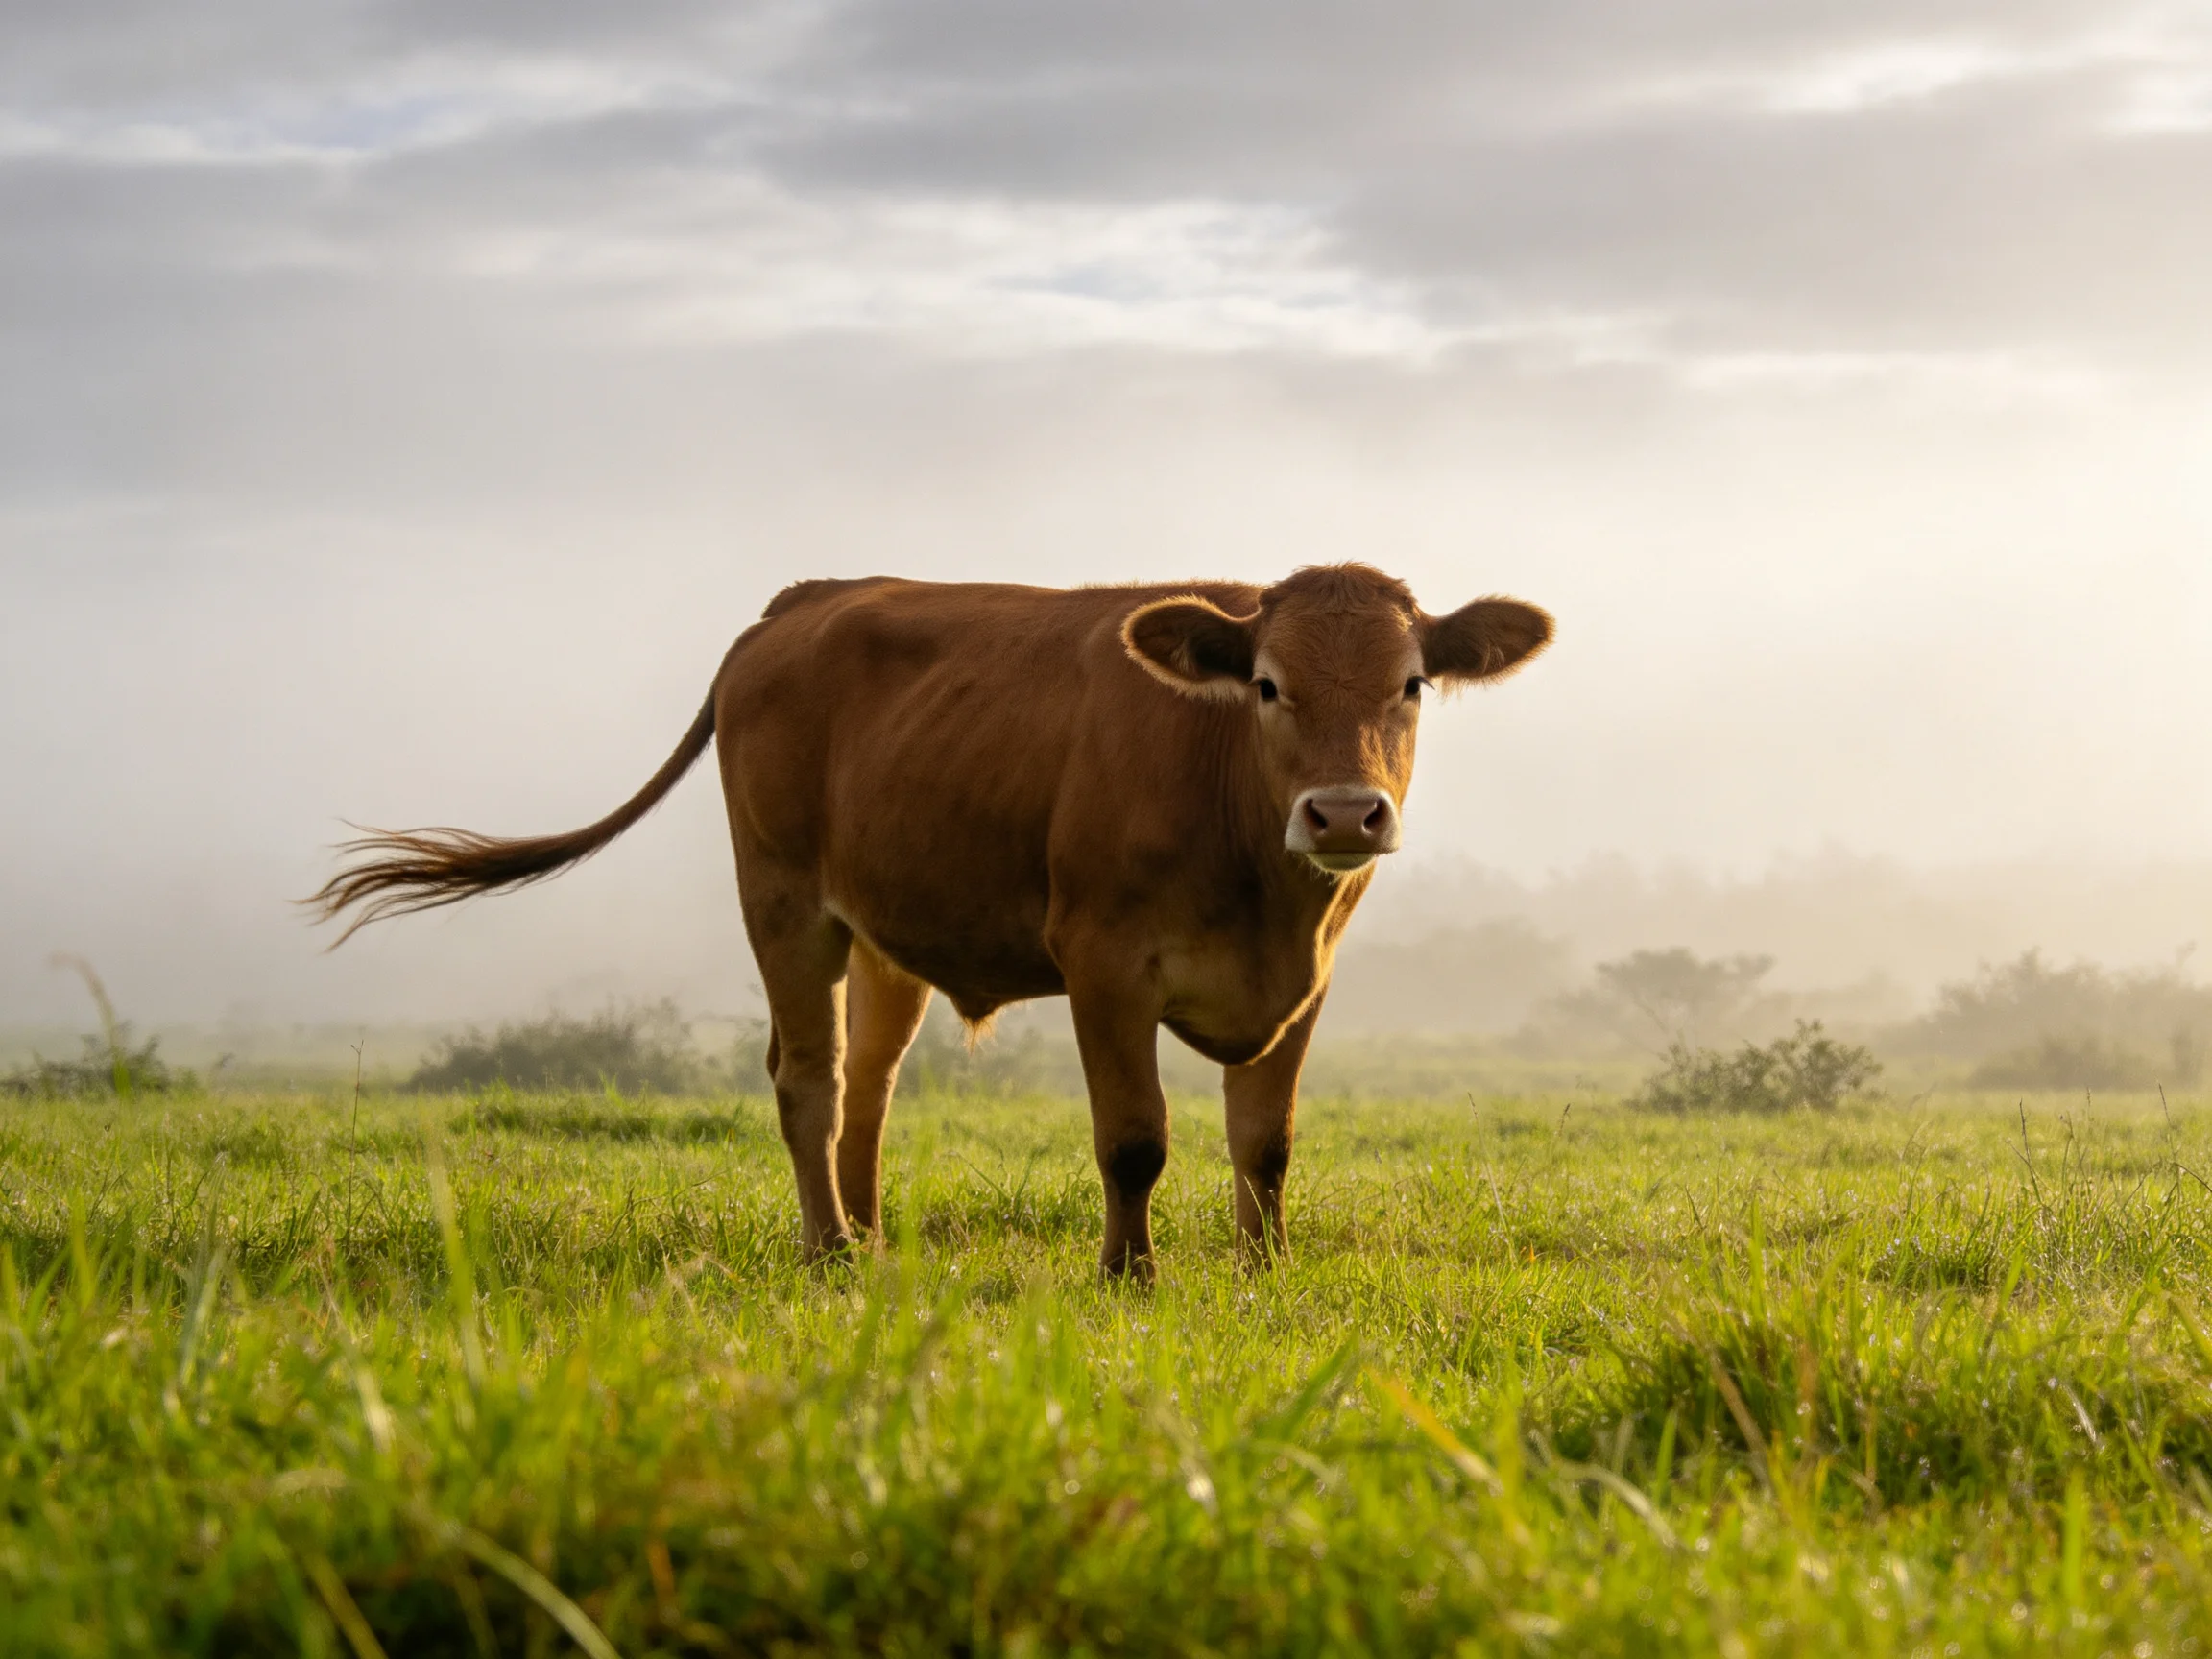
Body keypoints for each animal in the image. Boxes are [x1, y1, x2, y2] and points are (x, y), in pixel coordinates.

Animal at [309, 565, 1552, 1276]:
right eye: (1267, 685)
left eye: (1408, 685)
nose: (1344, 811)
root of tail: (804, 600)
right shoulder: (1103, 963)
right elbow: (1135, 1138)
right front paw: (1130, 1276)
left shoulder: (1304, 978)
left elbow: (1266, 1141)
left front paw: (1264, 1276)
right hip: (785, 904)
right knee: (808, 1078)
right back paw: (827, 1251)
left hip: (883, 934)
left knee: (871, 1083)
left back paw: (865, 1232)